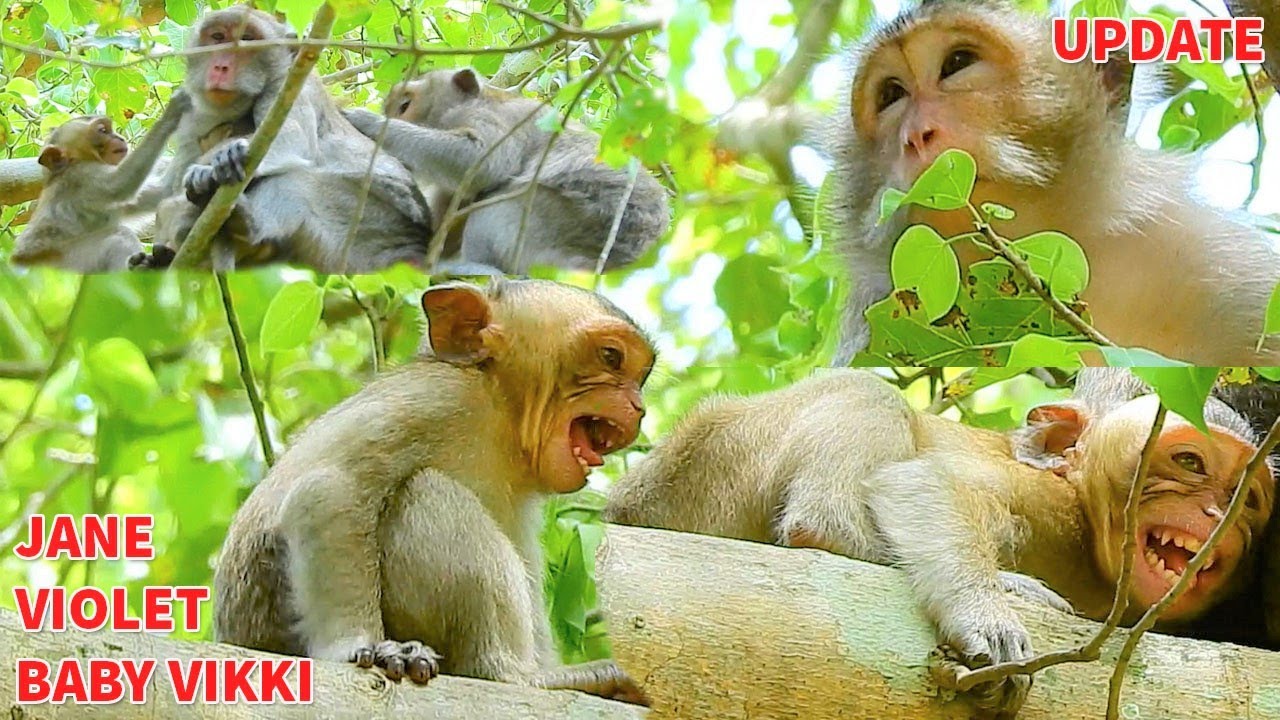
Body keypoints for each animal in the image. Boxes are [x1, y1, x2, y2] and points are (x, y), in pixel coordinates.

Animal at [10, 90, 191, 273]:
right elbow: (119, 185)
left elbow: (166, 189)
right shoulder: (83, 176)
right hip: (69, 265)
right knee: (119, 236)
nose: (120, 137)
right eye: (103, 130)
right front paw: (171, 113)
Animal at [150, 5, 433, 272]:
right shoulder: (195, 120)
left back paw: (247, 223)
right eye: (218, 37)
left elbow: (292, 139)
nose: (221, 66)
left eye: (248, 39)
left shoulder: (289, 86)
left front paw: (215, 165)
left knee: (299, 181)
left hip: (368, 230)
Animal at [214, 278, 653, 703]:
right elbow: (330, 489)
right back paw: (511, 674)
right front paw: (354, 646)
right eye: (611, 357)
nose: (638, 406)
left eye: (639, 379)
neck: (501, 415)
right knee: (428, 490)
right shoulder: (438, 398)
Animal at [342, 68, 670, 274]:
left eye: (405, 105)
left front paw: (370, 123)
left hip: (557, 221)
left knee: (496, 207)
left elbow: (482, 161)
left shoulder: (497, 119)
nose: (389, 115)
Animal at [605, 369, 1276, 717]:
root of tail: (626, 505)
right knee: (865, 396)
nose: (1216, 511)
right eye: (1189, 461)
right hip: (706, 463)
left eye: (1245, 497)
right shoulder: (1048, 503)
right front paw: (984, 611)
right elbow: (926, 483)